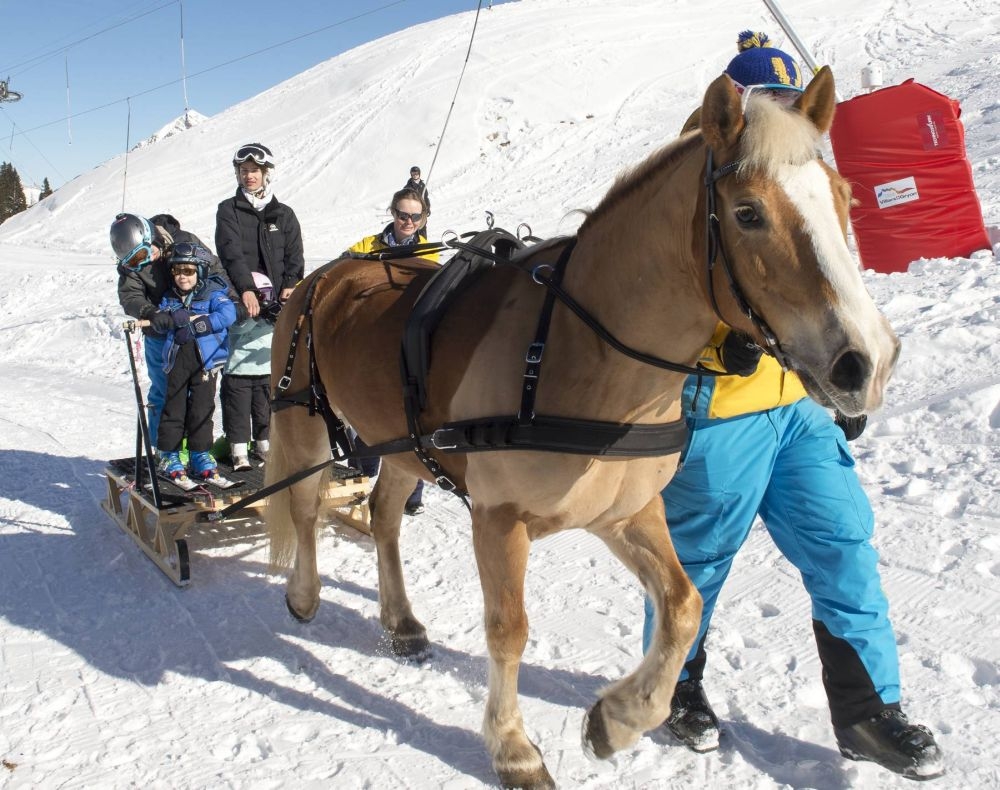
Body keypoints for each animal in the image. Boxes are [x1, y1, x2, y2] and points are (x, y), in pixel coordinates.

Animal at [264, 65, 900, 788]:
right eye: (748, 213)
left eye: (843, 196)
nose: (866, 360)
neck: (579, 356)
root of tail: (337, 269)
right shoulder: (498, 520)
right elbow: (508, 628)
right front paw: (513, 748)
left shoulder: (625, 511)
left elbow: (683, 607)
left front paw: (618, 719)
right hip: (301, 422)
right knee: (305, 505)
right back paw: (305, 593)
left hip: (400, 446)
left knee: (385, 515)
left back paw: (400, 622)